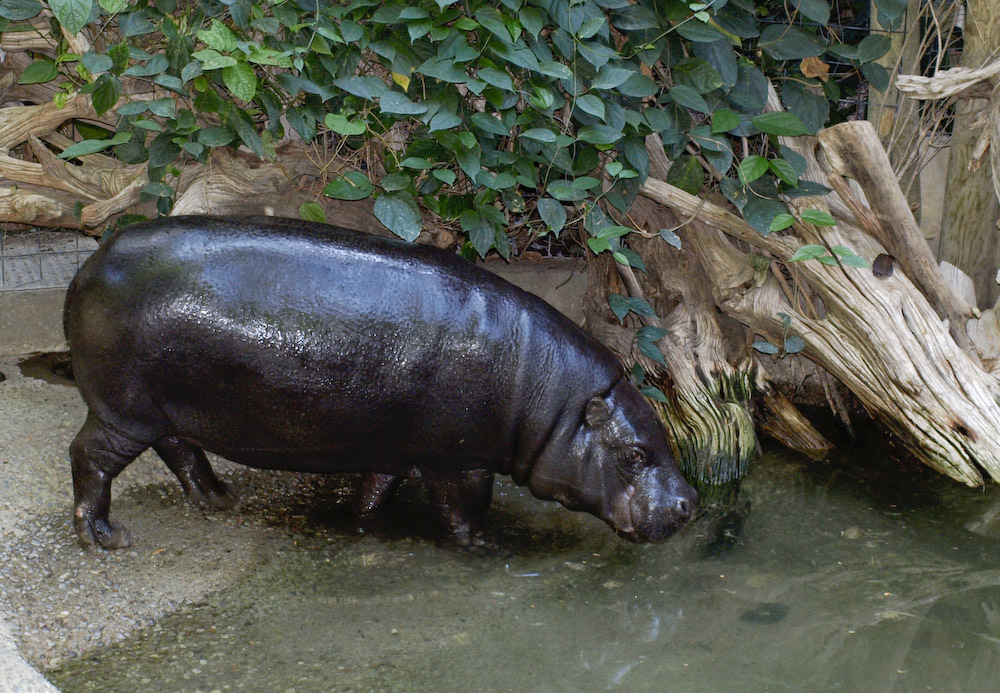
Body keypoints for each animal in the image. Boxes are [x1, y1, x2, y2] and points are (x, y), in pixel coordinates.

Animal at [64, 216, 696, 549]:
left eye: (663, 436)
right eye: (635, 455)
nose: (690, 503)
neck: (554, 399)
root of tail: (88, 265)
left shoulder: (391, 447)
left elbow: (377, 488)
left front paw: (360, 523)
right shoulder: (459, 460)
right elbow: (467, 507)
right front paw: (485, 546)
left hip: (162, 409)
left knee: (180, 451)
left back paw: (219, 498)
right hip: (122, 409)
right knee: (89, 457)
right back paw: (105, 538)